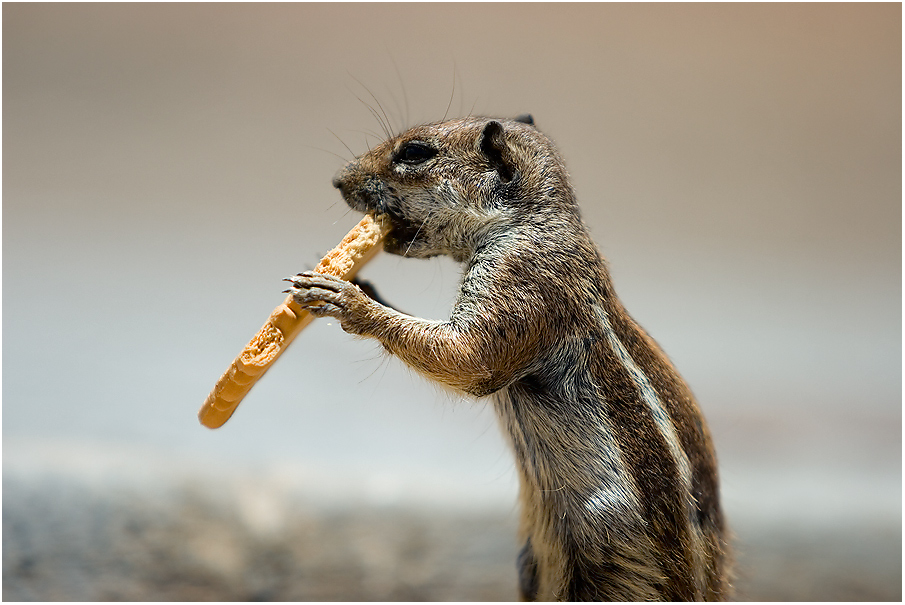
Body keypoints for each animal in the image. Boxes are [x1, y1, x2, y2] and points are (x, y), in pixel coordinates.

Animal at [286, 114, 732, 600]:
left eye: (415, 152)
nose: (338, 180)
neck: (531, 218)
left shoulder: (519, 277)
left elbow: (468, 357)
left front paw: (347, 299)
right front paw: (358, 283)